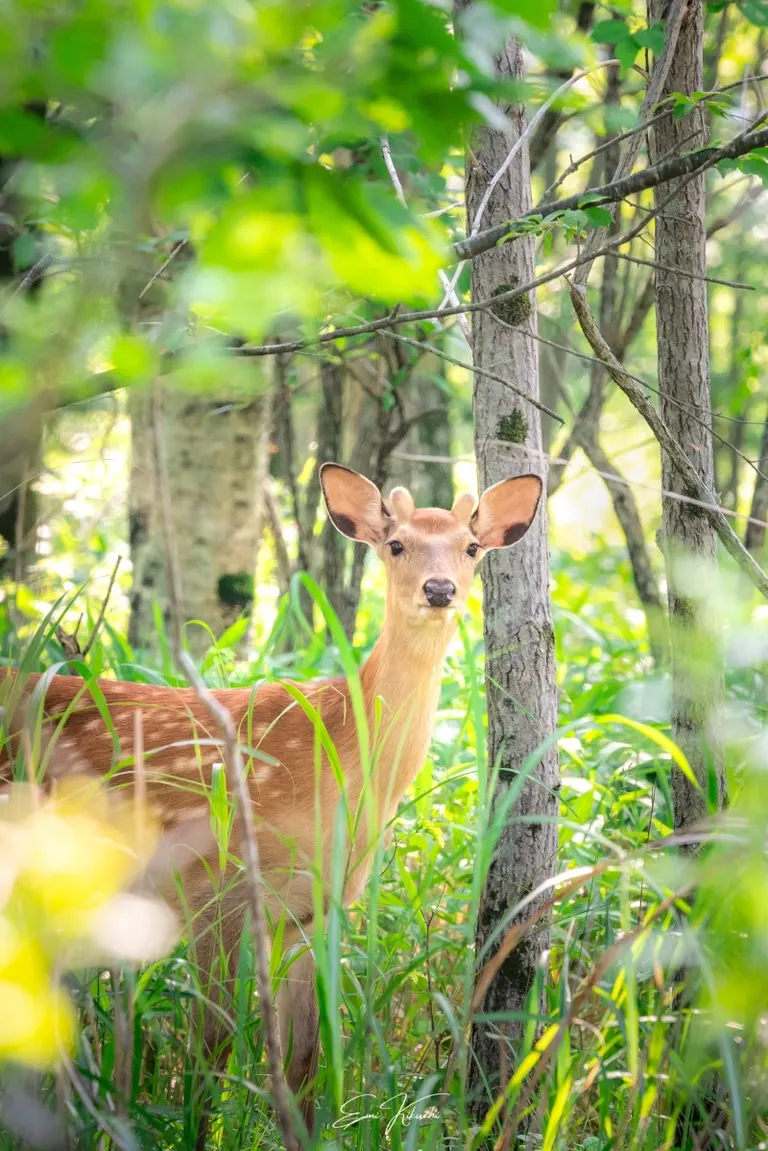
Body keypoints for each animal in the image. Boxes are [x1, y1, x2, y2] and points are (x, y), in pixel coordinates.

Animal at [0, 462, 543, 1145]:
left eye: (471, 548)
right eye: (396, 544)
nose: (440, 588)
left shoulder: (309, 911)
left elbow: (304, 1059)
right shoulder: (212, 888)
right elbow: (211, 1050)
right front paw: (192, 1134)